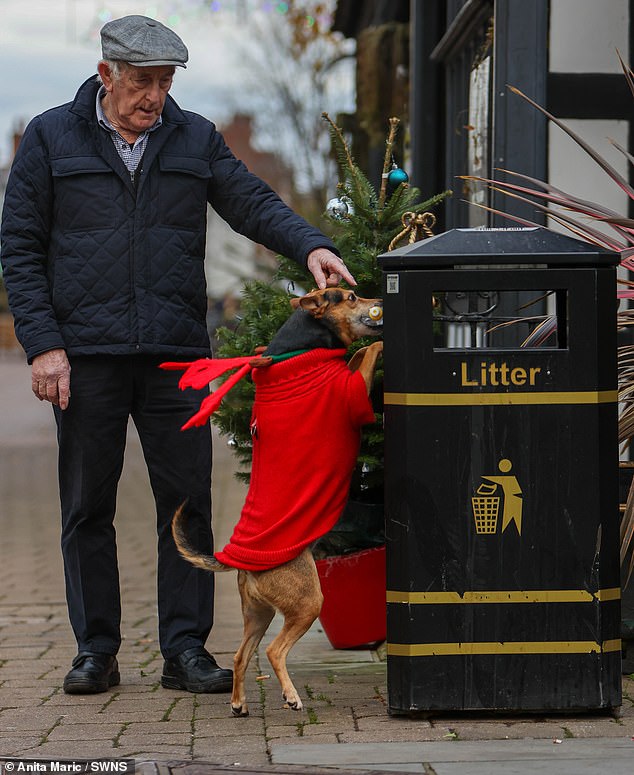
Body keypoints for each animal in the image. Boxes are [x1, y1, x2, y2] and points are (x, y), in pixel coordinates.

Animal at [170, 288, 382, 720]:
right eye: (351, 296)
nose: (377, 301)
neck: (297, 351)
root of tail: (236, 560)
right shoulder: (353, 393)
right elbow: (369, 352)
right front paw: (380, 341)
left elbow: (356, 356)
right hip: (307, 602)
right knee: (272, 650)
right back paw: (291, 696)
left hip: (258, 613)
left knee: (240, 656)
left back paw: (239, 703)